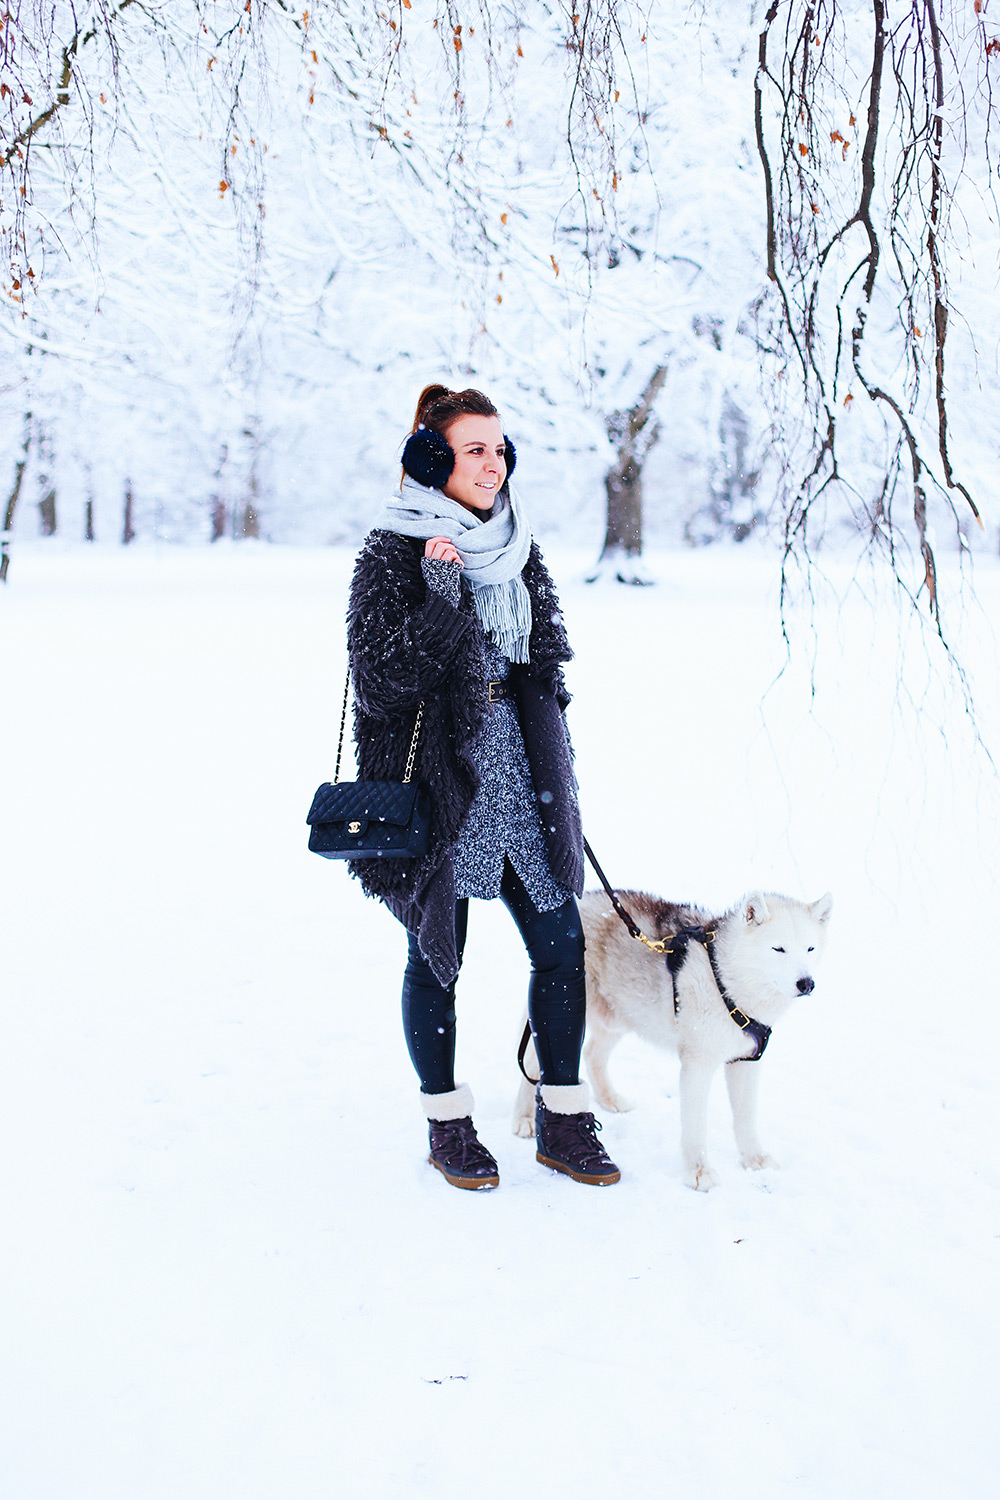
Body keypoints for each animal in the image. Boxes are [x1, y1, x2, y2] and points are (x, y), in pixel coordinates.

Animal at [512, 882, 833, 1188]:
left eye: (810, 949)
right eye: (778, 949)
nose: (806, 983)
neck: (727, 983)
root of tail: (583, 898)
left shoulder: (745, 1063)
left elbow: (746, 1120)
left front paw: (754, 1159)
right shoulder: (697, 1065)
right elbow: (696, 1126)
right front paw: (699, 1173)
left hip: (619, 1017)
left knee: (592, 1054)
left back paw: (610, 1099)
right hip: (567, 1005)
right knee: (533, 1067)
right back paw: (525, 1118)